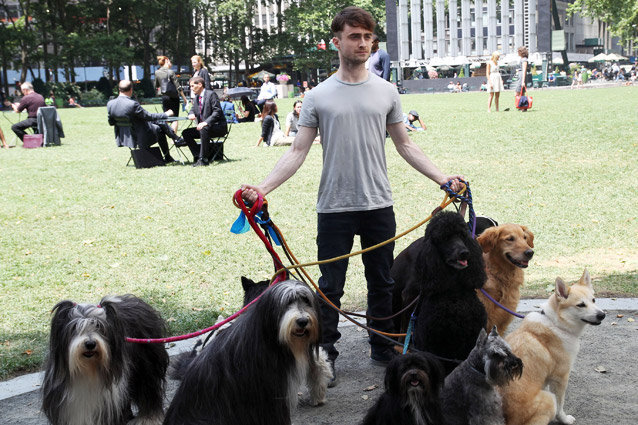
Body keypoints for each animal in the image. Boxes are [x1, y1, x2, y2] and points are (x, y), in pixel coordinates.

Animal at [42, 294, 170, 424]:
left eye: (99, 326)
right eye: (75, 327)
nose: (90, 344)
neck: (88, 370)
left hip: (146, 367)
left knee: (149, 391)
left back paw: (148, 418)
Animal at [502, 270, 608, 422]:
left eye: (593, 300)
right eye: (581, 305)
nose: (602, 315)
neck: (556, 323)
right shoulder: (561, 378)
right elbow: (560, 405)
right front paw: (564, 419)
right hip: (549, 399)